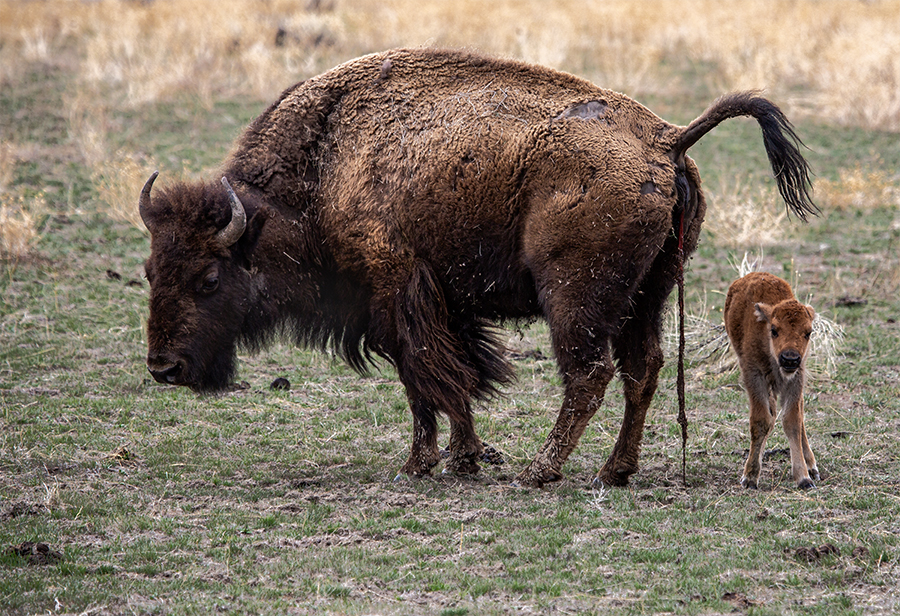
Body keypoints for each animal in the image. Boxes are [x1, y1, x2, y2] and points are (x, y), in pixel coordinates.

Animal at [720, 272, 820, 488]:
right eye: (774, 330)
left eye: (808, 332)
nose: (790, 359)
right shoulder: (754, 376)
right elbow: (760, 421)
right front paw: (750, 477)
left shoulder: (796, 379)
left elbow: (793, 421)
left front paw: (804, 477)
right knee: (770, 416)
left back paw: (811, 466)